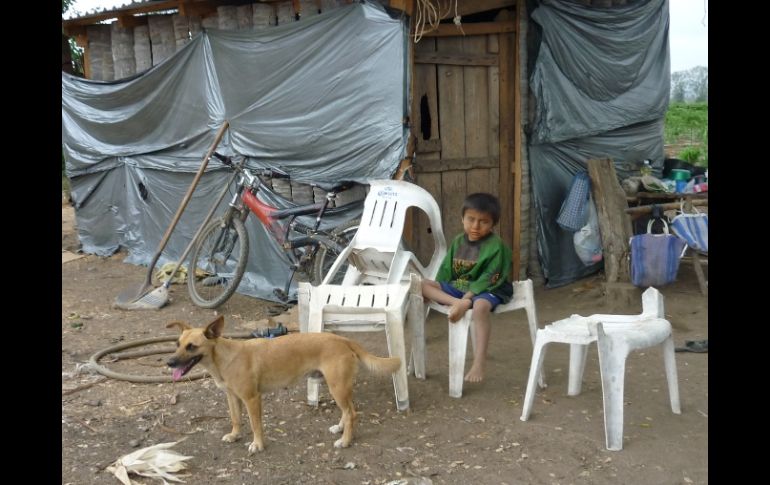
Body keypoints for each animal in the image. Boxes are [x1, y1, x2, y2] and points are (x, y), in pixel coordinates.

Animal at [165, 316, 400, 452]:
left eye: (192, 346)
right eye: (177, 344)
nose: (169, 362)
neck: (224, 358)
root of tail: (343, 340)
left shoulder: (252, 399)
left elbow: (255, 424)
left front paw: (258, 445)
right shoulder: (232, 397)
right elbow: (235, 419)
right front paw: (234, 435)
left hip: (337, 387)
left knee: (352, 413)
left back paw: (345, 441)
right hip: (337, 387)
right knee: (348, 411)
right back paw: (340, 429)